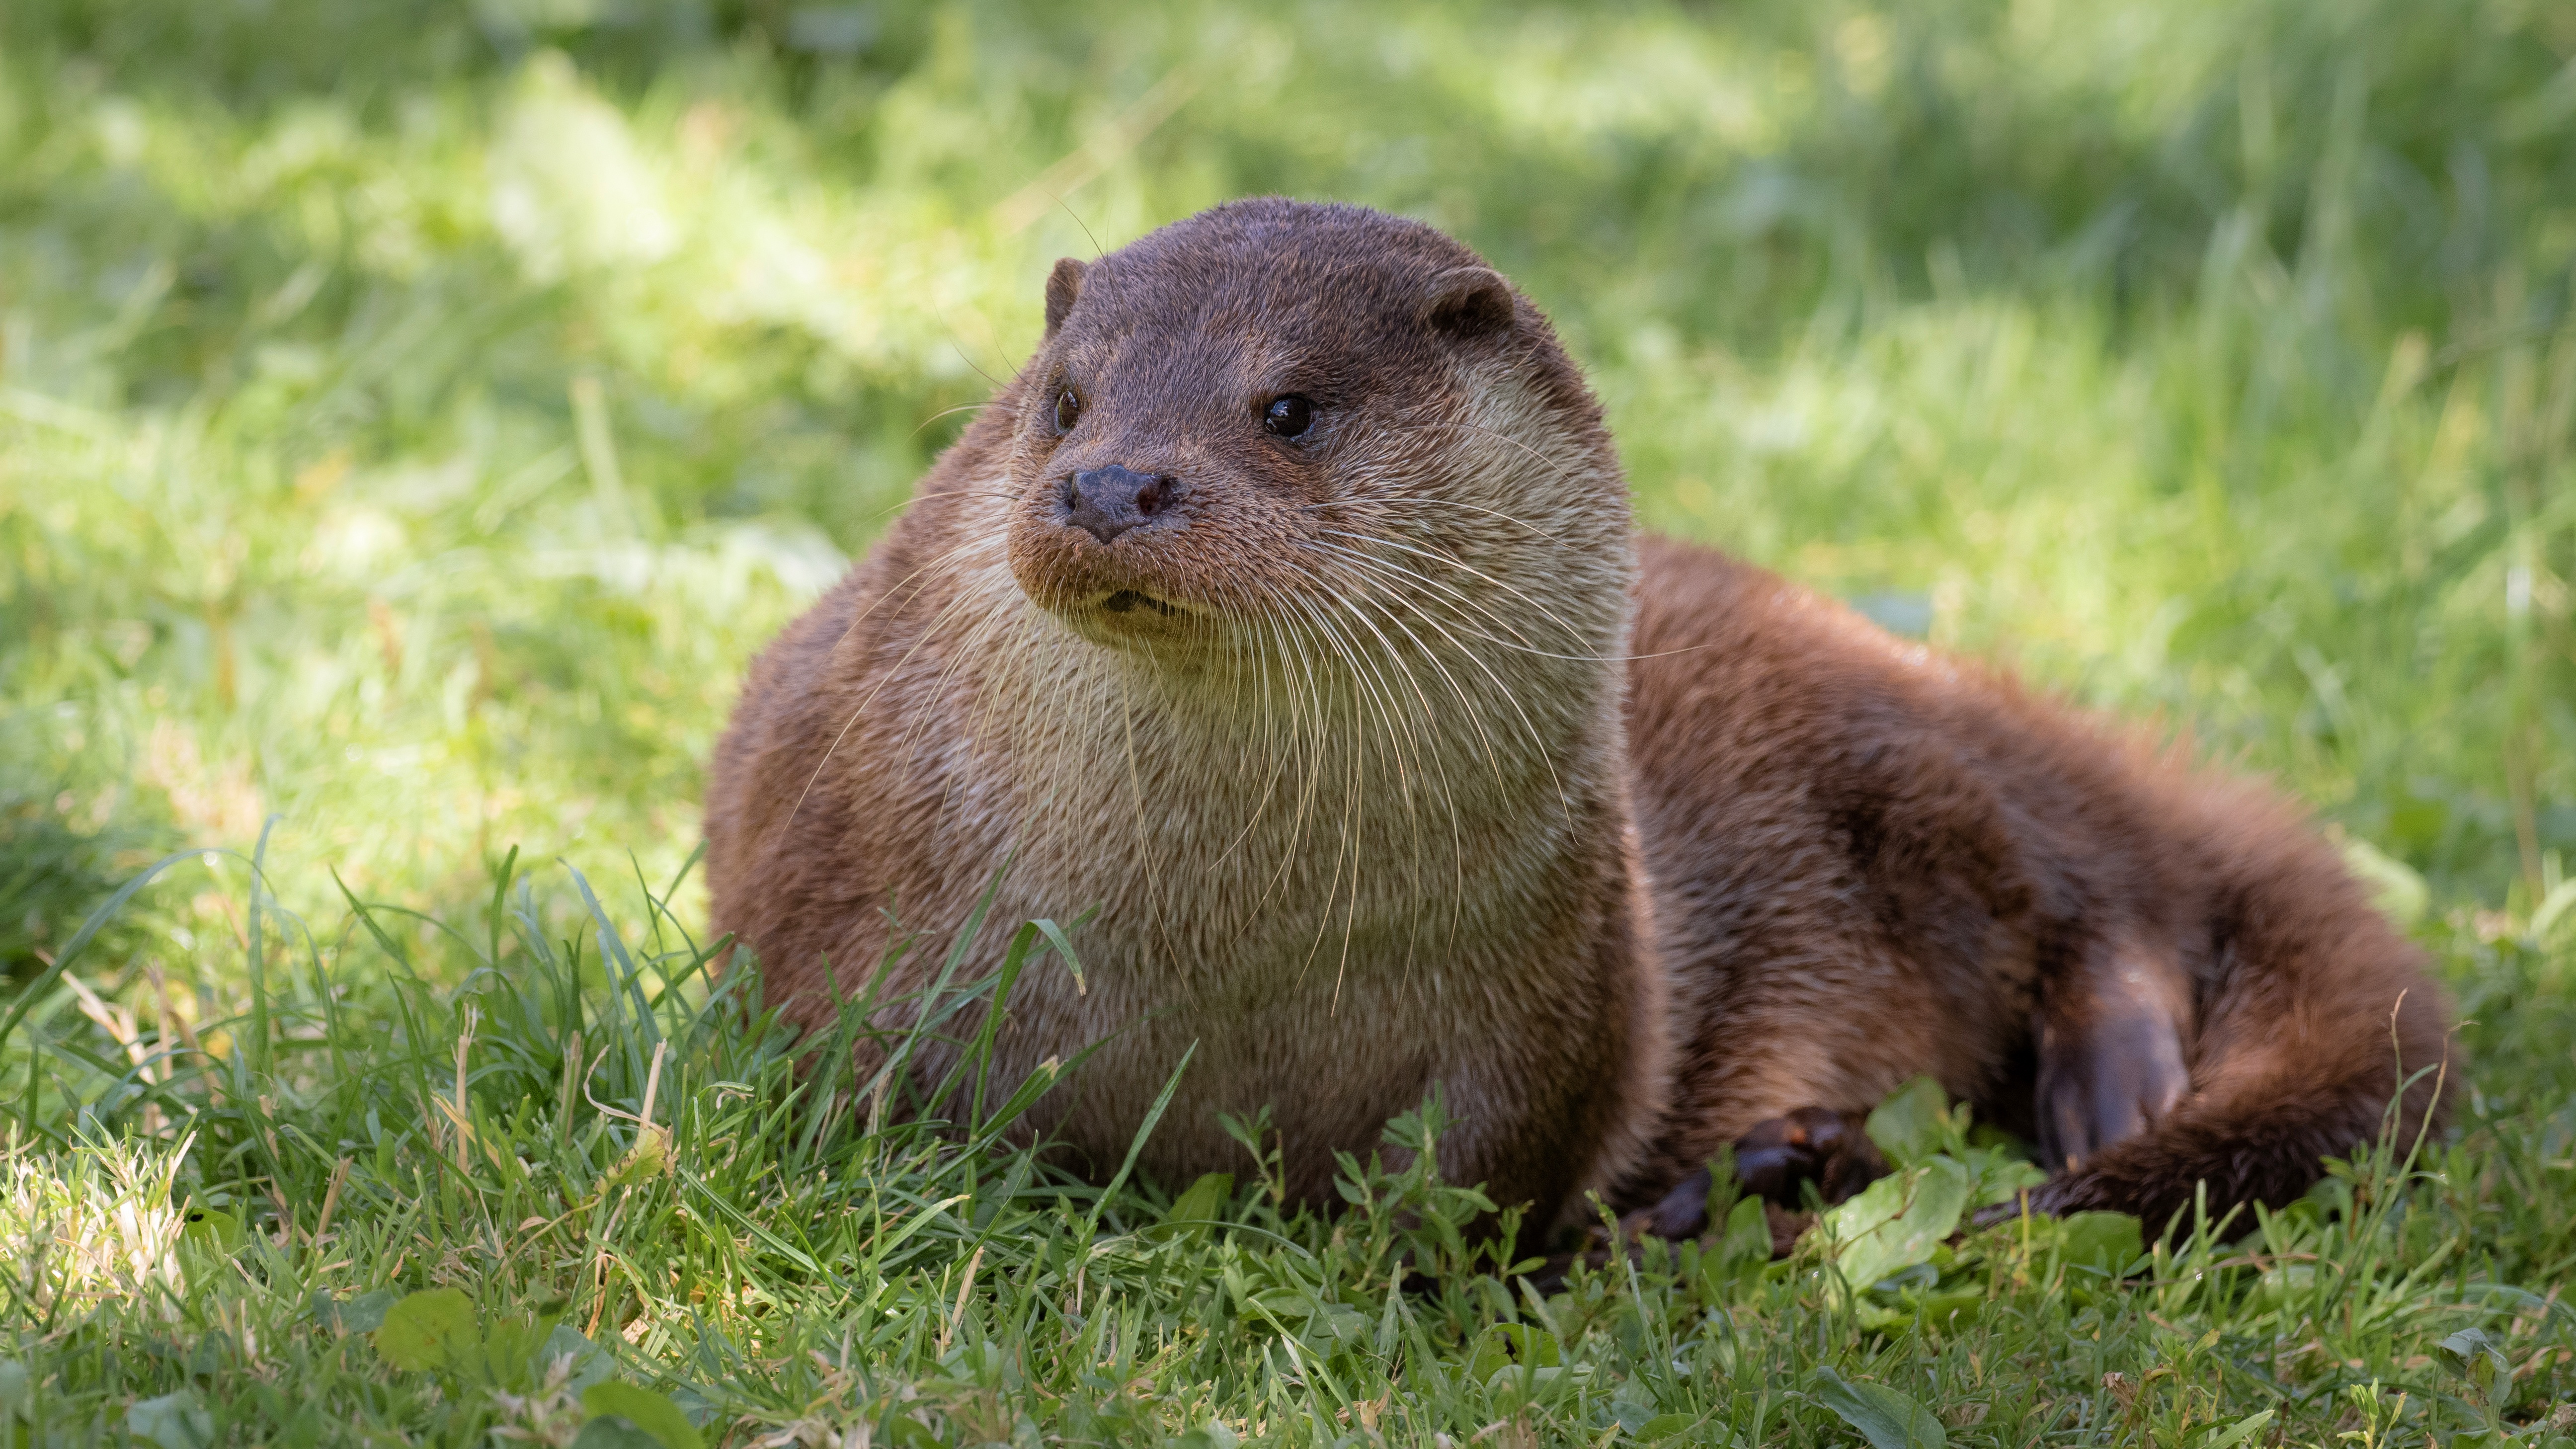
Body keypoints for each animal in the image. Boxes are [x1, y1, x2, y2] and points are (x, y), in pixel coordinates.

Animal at [711, 197, 2452, 1237]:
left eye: (1289, 408)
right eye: (1066, 400)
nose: (1111, 482)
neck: (1214, 954)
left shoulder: (1551, 1013)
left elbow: (1486, 1204)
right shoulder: (854, 925)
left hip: (1917, 762)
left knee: (2108, 883)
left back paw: (2094, 1097)